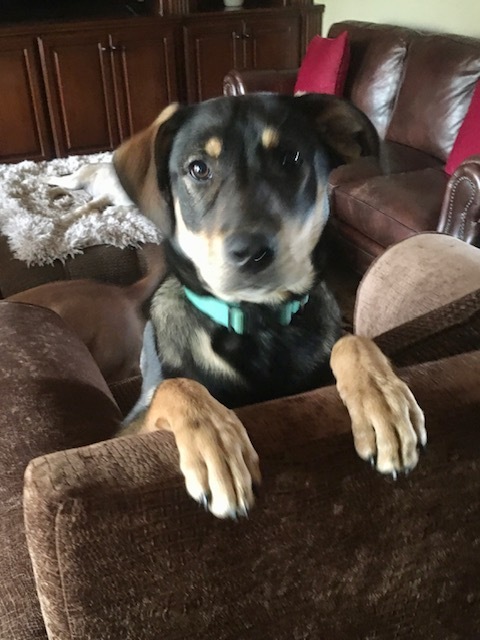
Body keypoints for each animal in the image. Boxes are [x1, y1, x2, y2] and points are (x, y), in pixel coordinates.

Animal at [113, 94, 427, 519]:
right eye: (198, 168)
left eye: (290, 159)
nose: (250, 252)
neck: (259, 321)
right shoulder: (126, 426)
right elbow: (177, 385)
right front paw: (216, 443)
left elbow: (353, 341)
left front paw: (383, 399)